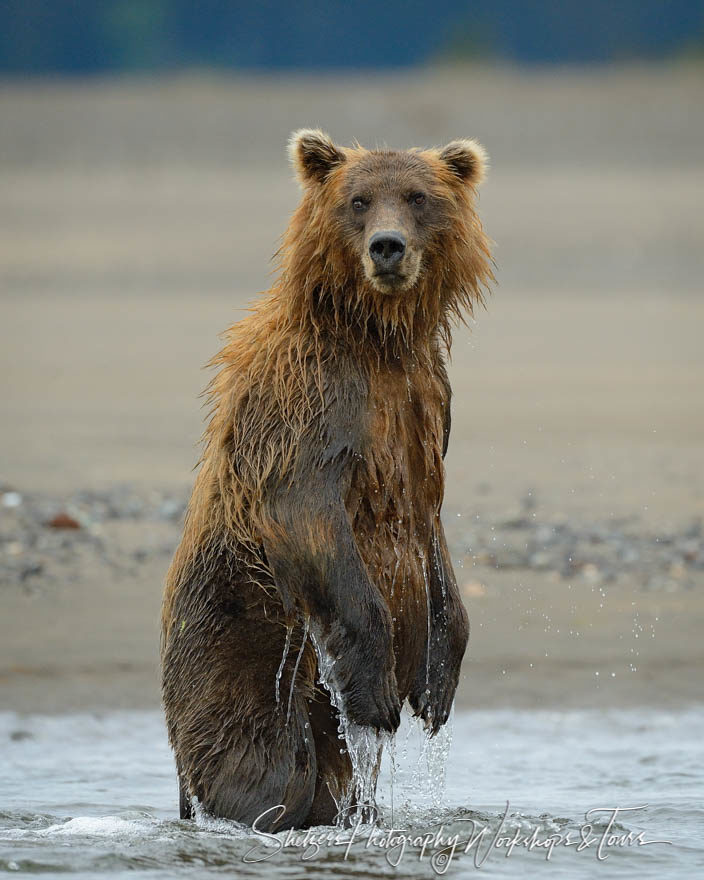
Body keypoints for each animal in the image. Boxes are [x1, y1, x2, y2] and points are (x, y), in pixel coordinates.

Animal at [160, 127, 492, 828]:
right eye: (359, 200)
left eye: (417, 197)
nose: (388, 246)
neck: (377, 340)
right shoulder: (310, 398)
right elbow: (307, 511)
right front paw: (378, 689)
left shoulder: (426, 404)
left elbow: (429, 529)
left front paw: (438, 683)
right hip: (245, 643)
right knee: (261, 765)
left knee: (335, 779)